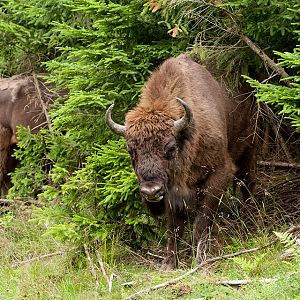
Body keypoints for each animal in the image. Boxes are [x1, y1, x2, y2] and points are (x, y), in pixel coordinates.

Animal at [104, 54, 256, 270]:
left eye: (170, 148)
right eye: (130, 150)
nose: (151, 191)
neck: (188, 136)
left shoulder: (219, 174)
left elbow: (202, 222)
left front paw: (200, 261)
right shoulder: (172, 193)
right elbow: (174, 228)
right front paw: (169, 264)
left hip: (249, 148)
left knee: (248, 183)